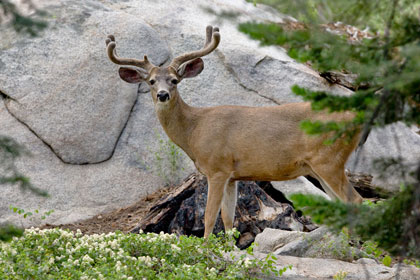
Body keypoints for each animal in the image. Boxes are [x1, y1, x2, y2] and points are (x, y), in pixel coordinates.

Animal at [104, 25, 360, 237]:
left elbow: (209, 216)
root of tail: (356, 119)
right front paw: (230, 248)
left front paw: (206, 248)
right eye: (151, 81)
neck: (194, 130)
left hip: (329, 160)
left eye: (175, 80)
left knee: (355, 200)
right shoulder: (232, 175)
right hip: (318, 166)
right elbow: (228, 218)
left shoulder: (216, 167)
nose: (163, 95)